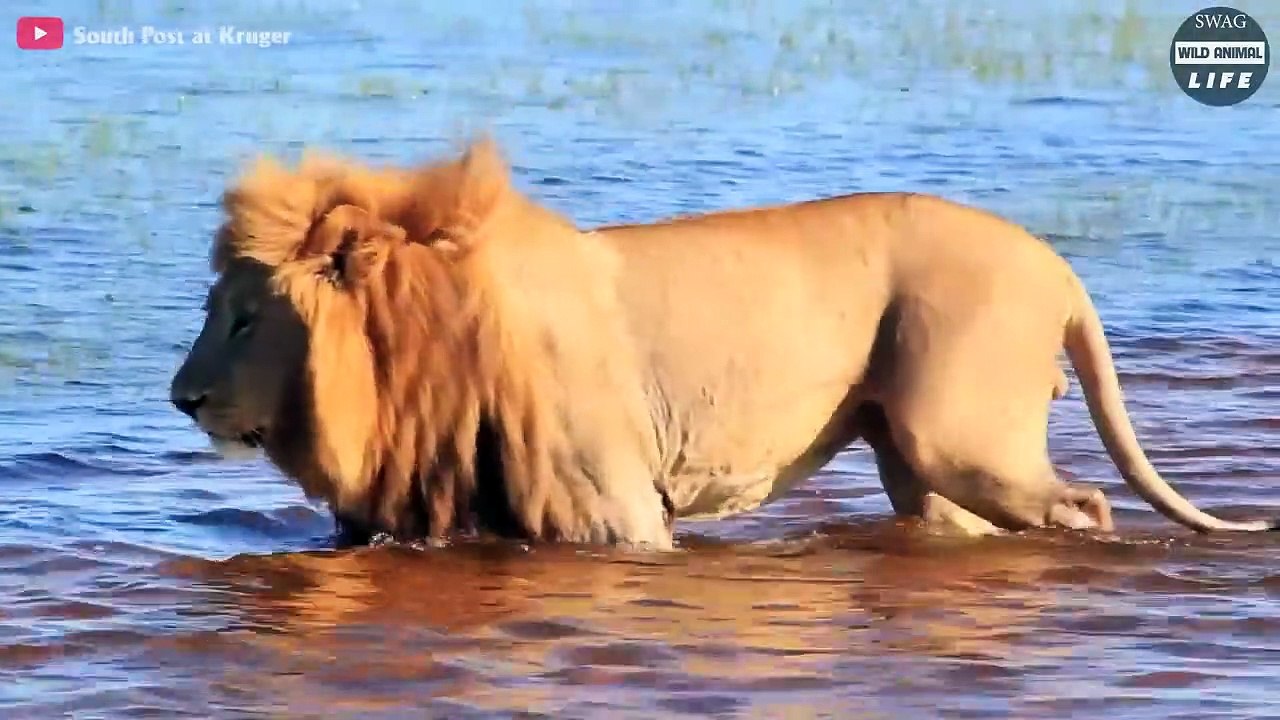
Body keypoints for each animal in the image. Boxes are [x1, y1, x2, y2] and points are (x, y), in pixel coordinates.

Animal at [168, 138, 1277, 549]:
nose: (181, 398)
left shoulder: (613, 506)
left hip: (962, 435)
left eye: (245, 316)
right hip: (918, 457)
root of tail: (1057, 269)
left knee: (1084, 505)